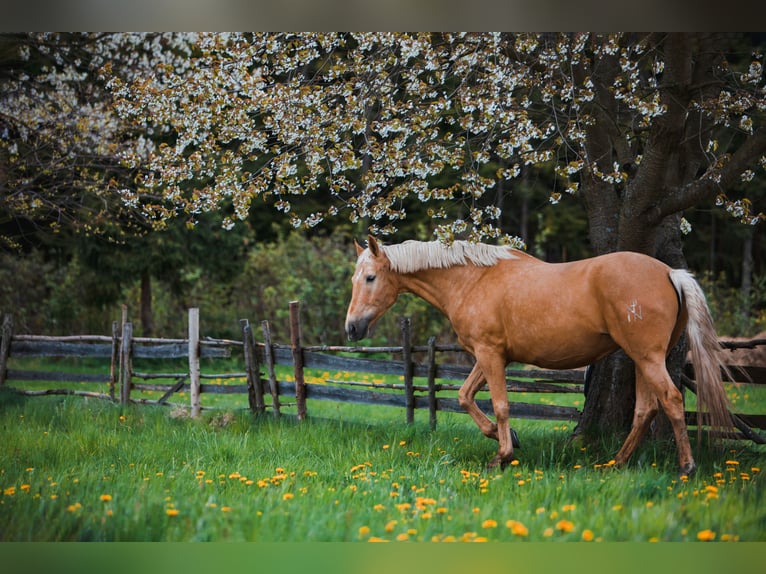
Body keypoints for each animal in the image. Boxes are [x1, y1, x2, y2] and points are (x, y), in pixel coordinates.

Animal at [346, 235, 732, 476]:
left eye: (370, 277)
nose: (352, 328)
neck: (473, 280)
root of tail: (669, 272)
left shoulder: (490, 354)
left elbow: (500, 405)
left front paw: (502, 457)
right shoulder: (489, 357)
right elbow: (465, 397)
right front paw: (508, 439)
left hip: (647, 357)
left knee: (671, 400)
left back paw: (686, 467)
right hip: (641, 359)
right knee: (646, 409)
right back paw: (617, 463)